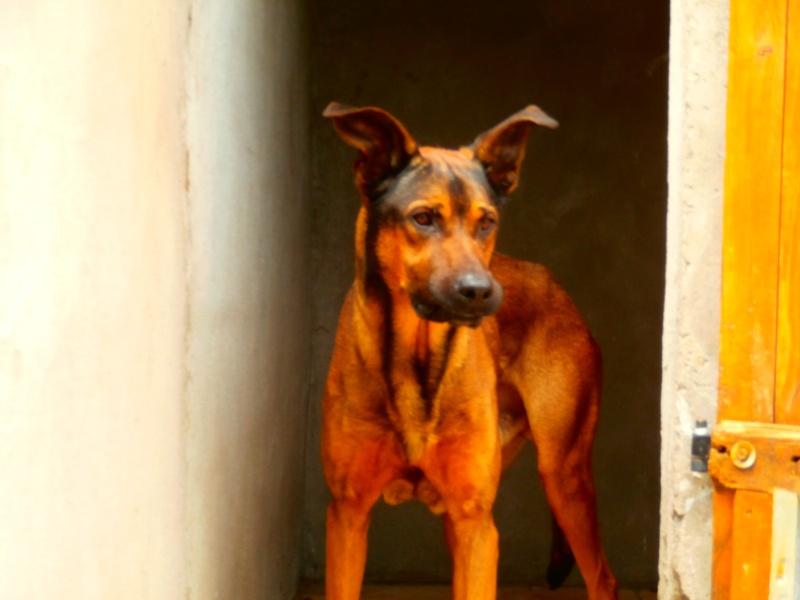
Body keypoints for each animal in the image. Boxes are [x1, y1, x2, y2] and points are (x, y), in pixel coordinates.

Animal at [320, 103, 620, 600]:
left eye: (487, 222)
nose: (480, 291)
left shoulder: (477, 524)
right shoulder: (348, 514)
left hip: (563, 471)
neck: (416, 359)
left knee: (603, 578)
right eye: (423, 218)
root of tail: (556, 289)